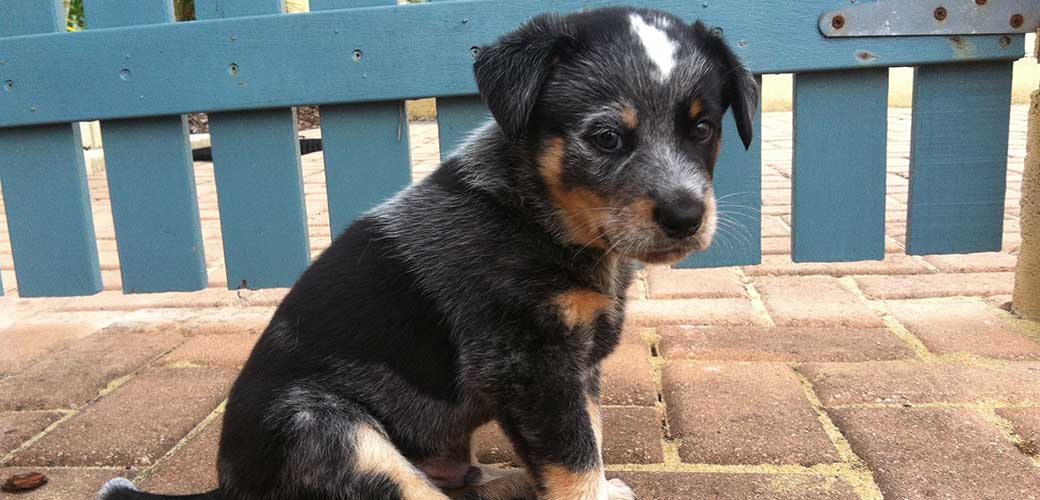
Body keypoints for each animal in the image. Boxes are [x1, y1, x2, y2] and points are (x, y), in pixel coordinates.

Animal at [99, 6, 757, 498]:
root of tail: (228, 489)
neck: (533, 214)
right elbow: (573, 460)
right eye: (606, 137)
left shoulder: (578, 367)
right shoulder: (529, 366)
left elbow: (586, 440)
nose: (686, 217)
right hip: (330, 431)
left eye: (703, 129)